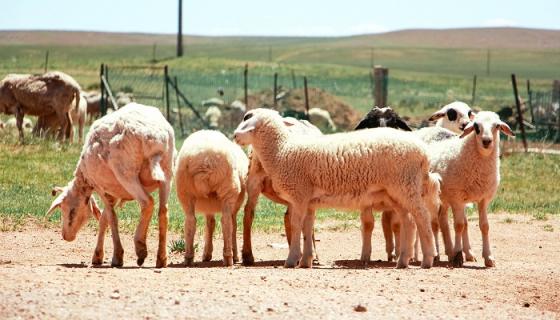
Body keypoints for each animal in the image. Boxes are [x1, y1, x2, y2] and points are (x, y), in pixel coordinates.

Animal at [47, 103, 176, 268]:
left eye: (69, 210)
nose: (65, 236)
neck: (84, 180)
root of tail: (155, 136)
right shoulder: (113, 192)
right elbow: (104, 219)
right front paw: (97, 255)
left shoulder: (101, 187)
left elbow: (111, 217)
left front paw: (117, 256)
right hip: (167, 171)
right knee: (163, 212)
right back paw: (161, 258)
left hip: (126, 173)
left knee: (147, 203)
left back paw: (140, 247)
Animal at [173, 129, 247, 266]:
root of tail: (207, 160)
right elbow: (232, 226)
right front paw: (235, 255)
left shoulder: (208, 205)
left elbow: (210, 223)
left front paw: (207, 253)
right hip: (229, 190)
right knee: (227, 222)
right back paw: (229, 257)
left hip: (185, 192)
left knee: (190, 221)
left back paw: (188, 257)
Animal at [422, 111, 516, 266]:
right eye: (476, 126)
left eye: (497, 126)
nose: (486, 141)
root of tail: (427, 129)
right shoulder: (457, 198)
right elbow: (459, 225)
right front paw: (458, 256)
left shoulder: (483, 199)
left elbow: (484, 226)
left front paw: (488, 257)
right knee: (434, 224)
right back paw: (435, 254)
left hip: (444, 198)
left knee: (443, 221)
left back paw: (451, 252)